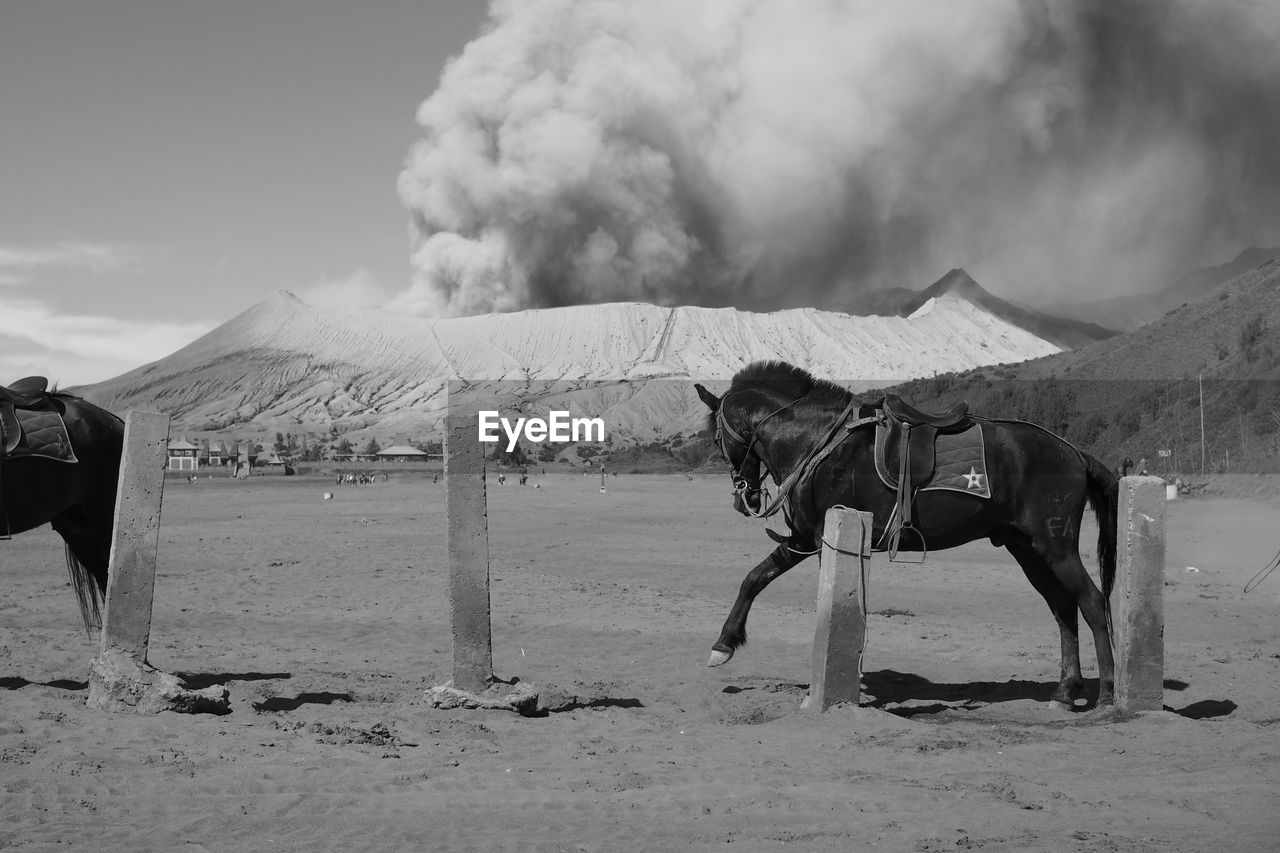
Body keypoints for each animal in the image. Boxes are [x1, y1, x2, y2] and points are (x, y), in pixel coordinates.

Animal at [691, 358, 1121, 701]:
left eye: (716, 437)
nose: (744, 498)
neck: (816, 439)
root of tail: (1073, 452)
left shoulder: (814, 539)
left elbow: (767, 583)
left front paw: (726, 646)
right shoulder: (805, 541)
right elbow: (756, 578)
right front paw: (725, 645)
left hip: (1055, 545)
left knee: (1092, 601)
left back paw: (1108, 692)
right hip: (1027, 548)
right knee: (1063, 607)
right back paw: (1066, 691)